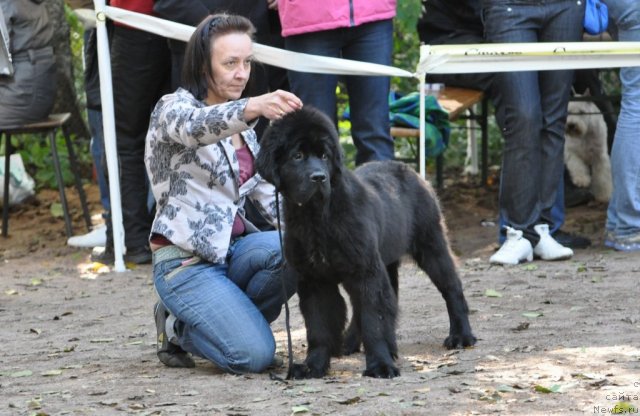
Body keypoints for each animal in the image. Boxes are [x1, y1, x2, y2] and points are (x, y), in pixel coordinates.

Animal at [255, 105, 476, 378]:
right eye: (297, 156)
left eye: (324, 156)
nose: (319, 178)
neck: (316, 218)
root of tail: (409, 171)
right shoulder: (315, 279)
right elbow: (319, 326)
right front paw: (312, 366)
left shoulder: (365, 271)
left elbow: (374, 321)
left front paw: (381, 365)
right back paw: (353, 343)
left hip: (430, 245)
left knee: (451, 288)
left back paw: (461, 336)